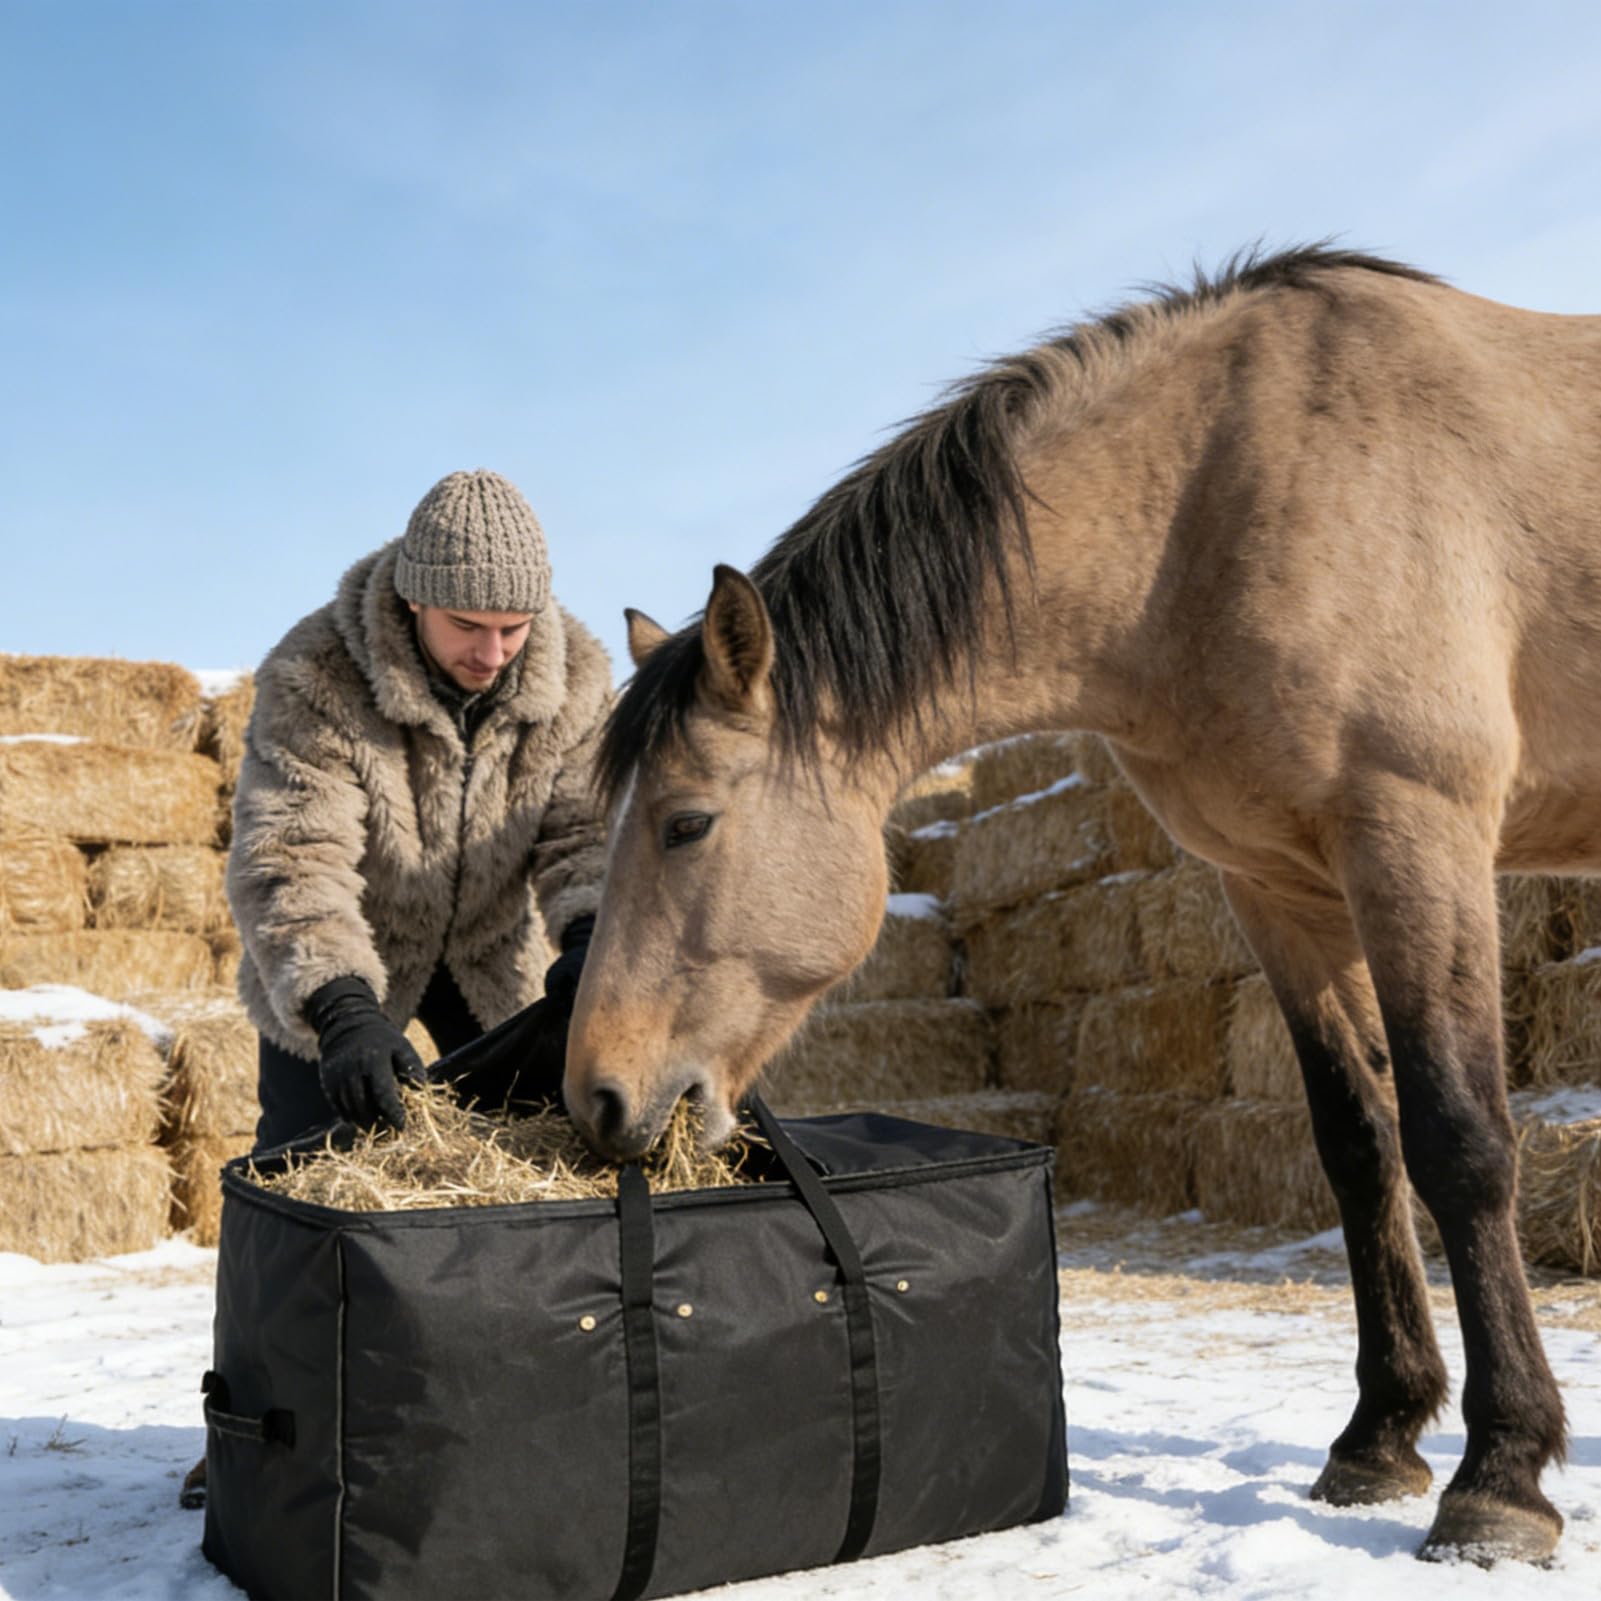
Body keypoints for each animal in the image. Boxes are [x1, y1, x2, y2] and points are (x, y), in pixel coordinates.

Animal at [566, 245, 1601, 1564]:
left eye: (686, 822)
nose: (597, 1092)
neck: (1226, 488)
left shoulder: (1414, 833)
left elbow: (1458, 1139)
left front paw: (1499, 1472)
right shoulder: (1274, 885)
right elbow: (1357, 1142)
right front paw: (1376, 1436)